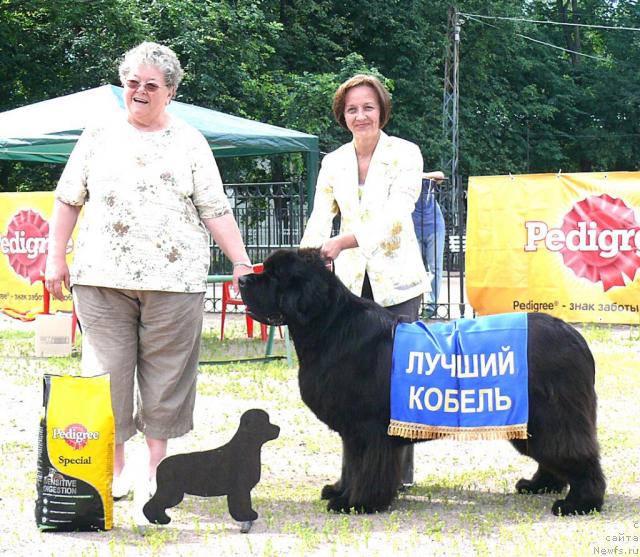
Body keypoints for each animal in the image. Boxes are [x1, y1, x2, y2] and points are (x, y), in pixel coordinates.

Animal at [239, 245, 604, 516]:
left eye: (275, 275)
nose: (242, 278)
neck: (330, 326)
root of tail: (575, 337)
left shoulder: (367, 428)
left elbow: (364, 466)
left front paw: (356, 502)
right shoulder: (352, 429)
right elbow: (349, 464)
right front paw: (340, 490)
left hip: (552, 416)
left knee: (577, 455)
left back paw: (580, 503)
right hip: (533, 419)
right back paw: (539, 485)